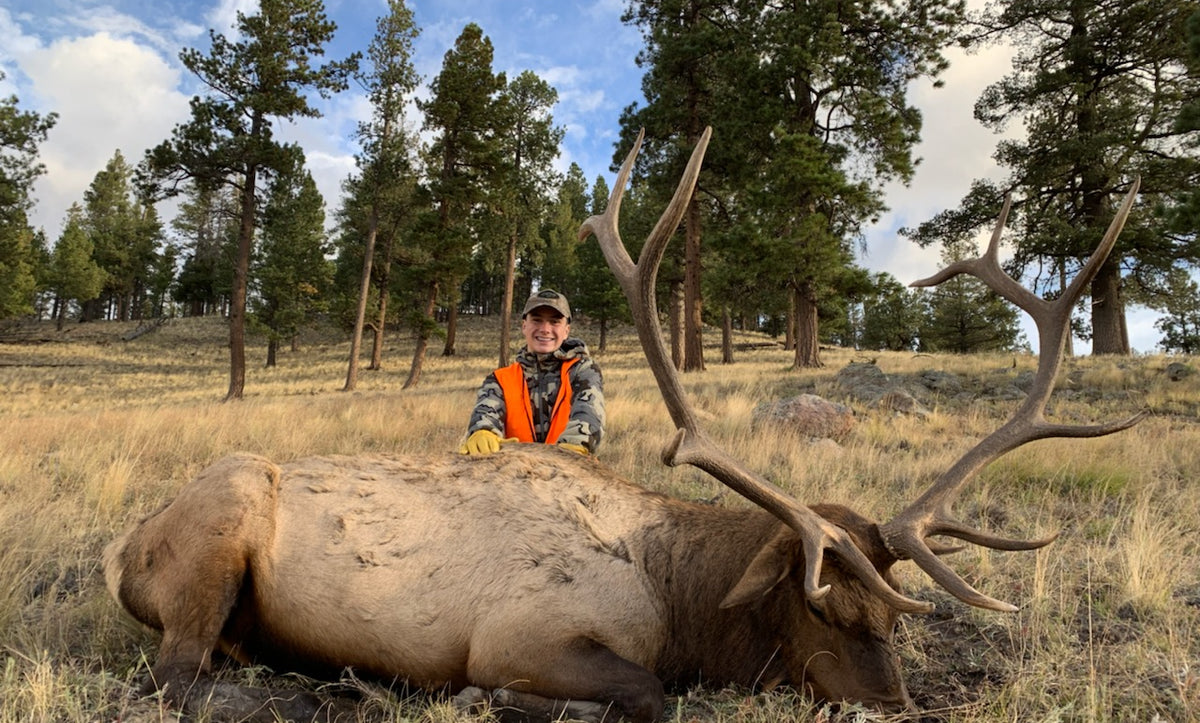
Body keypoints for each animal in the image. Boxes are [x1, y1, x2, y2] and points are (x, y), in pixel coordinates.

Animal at [102, 128, 1143, 723]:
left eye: (893, 614)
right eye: (819, 605)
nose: (897, 708)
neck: (678, 602)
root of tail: (123, 554)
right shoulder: (520, 631)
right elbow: (644, 694)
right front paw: (489, 697)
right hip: (224, 517)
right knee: (177, 671)